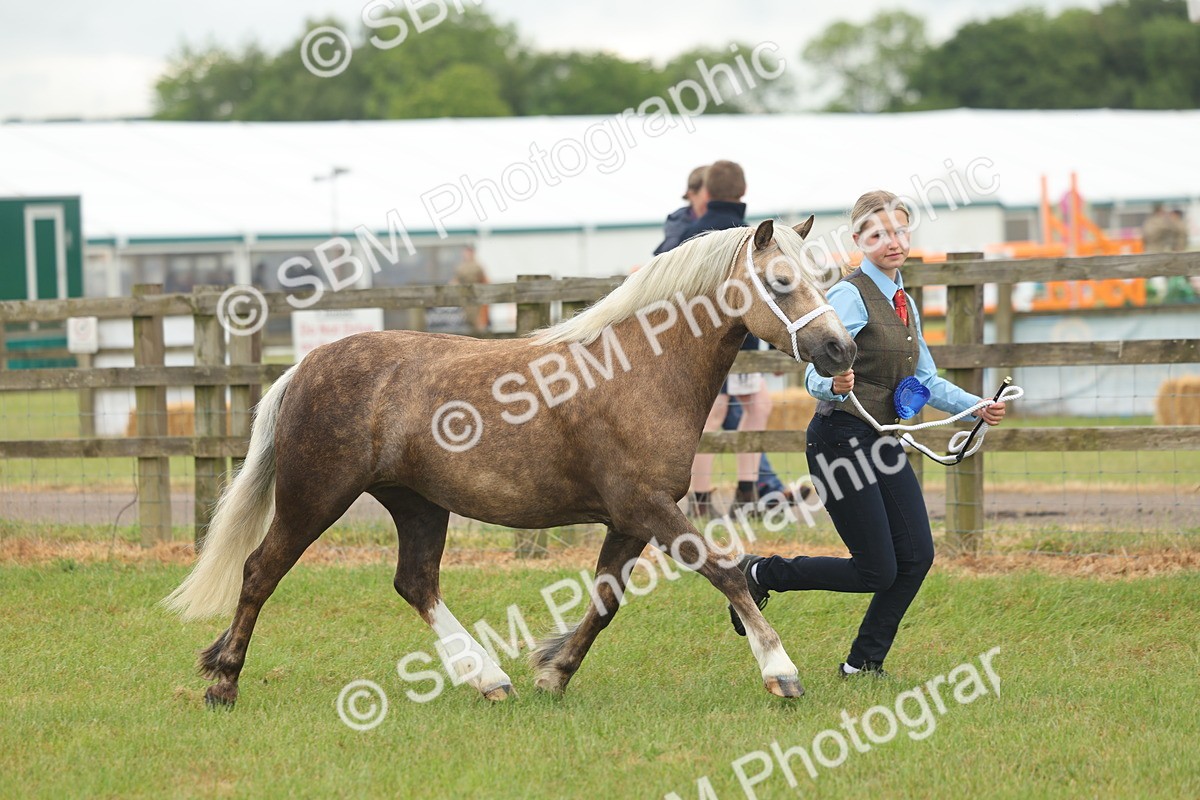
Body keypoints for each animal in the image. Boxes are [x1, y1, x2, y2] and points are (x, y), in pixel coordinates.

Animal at [163, 218, 856, 708]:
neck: (637, 370)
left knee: (415, 583)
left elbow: (605, 601)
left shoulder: (630, 520)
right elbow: (728, 573)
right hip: (315, 497)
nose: (839, 348)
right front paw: (781, 673)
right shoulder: (649, 508)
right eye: (782, 281)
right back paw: (223, 684)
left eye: (821, 276)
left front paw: (553, 672)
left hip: (417, 504)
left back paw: (489, 679)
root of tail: (305, 367)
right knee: (260, 572)